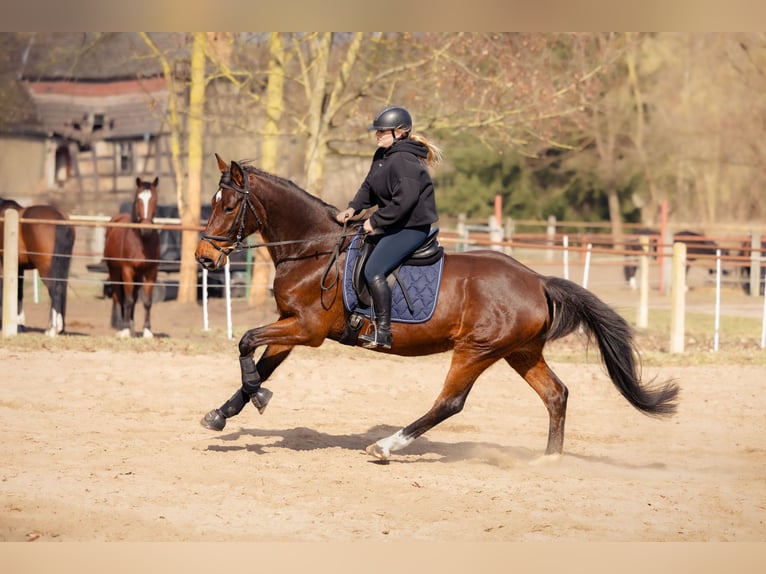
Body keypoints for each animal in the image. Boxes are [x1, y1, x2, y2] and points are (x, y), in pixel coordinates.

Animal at [0, 199, 75, 336]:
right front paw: (20, 325)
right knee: (61, 289)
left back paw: (52, 330)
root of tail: (60, 220)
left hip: (45, 267)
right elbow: (19, 292)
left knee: (55, 290)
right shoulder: (19, 267)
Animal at [103, 177, 160, 338]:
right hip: (114, 272)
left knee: (134, 298)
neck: (141, 241)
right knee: (118, 296)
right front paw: (125, 330)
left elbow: (146, 301)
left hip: (138, 277)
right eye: (138, 199)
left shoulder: (150, 272)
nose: (146, 229)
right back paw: (121, 326)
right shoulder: (127, 271)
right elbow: (127, 300)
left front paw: (147, 331)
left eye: (155, 200)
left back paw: (132, 326)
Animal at [195, 155, 679, 462]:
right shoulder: (290, 325)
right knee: (555, 394)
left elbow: (245, 342)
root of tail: (537, 280)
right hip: (520, 352)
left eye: (230, 205)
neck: (312, 249)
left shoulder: (307, 329)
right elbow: (261, 362)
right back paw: (549, 461)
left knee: (449, 402)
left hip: (476, 351)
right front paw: (224, 411)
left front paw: (253, 398)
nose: (203, 258)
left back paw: (386, 447)